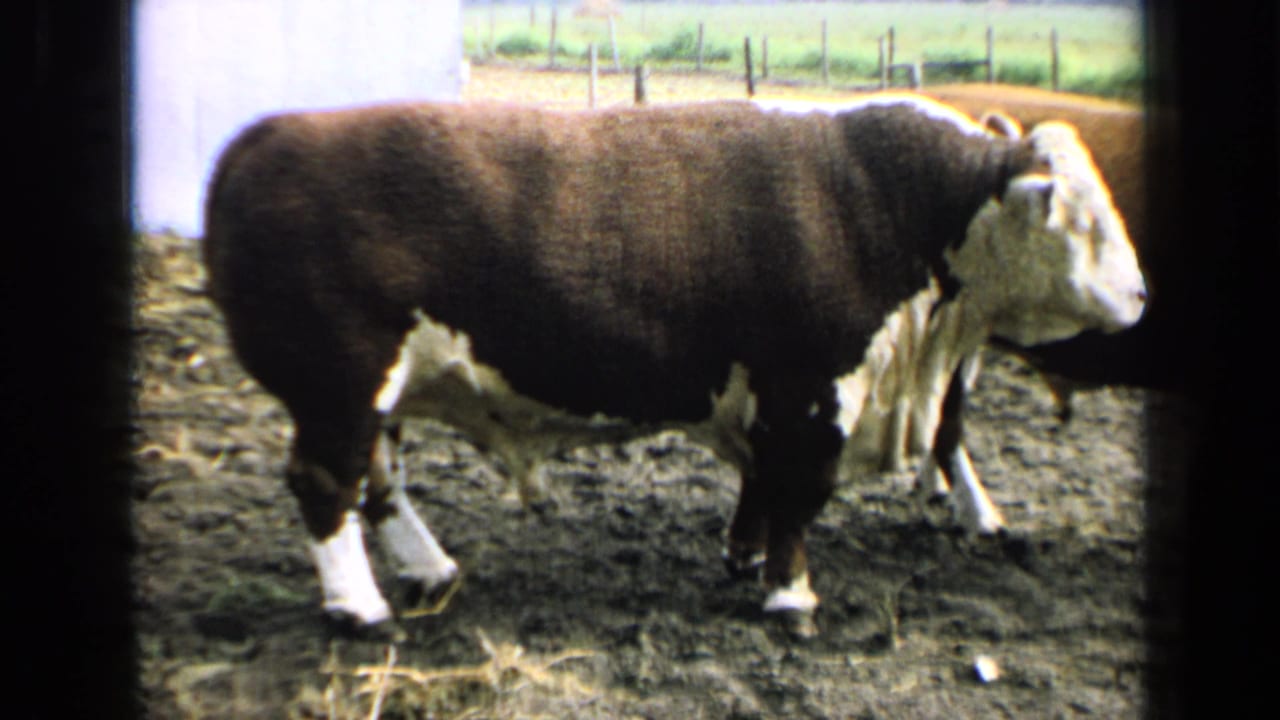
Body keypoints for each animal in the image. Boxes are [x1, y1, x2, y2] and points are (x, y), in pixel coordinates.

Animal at [201, 95, 1147, 638]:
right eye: (1082, 220)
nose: (1141, 295)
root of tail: (266, 137)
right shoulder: (814, 389)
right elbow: (798, 496)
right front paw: (790, 597)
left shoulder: (770, 393)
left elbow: (762, 488)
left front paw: (746, 557)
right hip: (339, 384)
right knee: (327, 483)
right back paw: (359, 609)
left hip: (377, 393)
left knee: (379, 480)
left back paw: (428, 568)